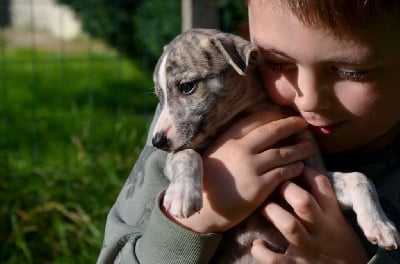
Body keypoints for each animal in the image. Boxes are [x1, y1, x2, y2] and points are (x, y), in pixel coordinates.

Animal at [151, 27, 400, 262]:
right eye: (159, 96)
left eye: (187, 86)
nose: (157, 141)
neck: (243, 114)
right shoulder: (179, 152)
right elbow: (186, 154)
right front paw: (182, 194)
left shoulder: (310, 174)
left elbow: (359, 177)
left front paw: (381, 225)